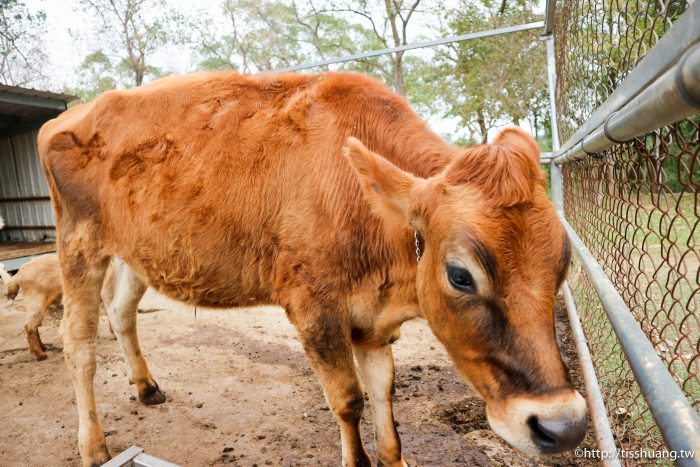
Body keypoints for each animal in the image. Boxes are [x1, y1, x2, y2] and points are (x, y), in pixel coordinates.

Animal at [38, 70, 584, 467]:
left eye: (563, 264)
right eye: (460, 274)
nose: (563, 425)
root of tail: (76, 112)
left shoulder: (372, 320)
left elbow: (384, 395)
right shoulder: (313, 309)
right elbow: (349, 400)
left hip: (136, 253)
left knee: (121, 311)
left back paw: (147, 387)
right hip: (78, 244)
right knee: (79, 345)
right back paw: (93, 445)